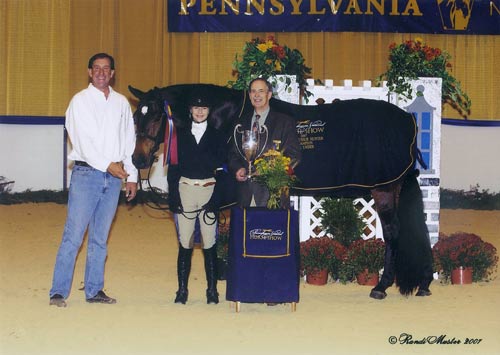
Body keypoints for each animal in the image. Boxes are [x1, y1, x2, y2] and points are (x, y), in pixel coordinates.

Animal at [129, 83, 434, 300]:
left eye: (155, 115)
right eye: (135, 116)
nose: (138, 160)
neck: (225, 119)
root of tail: (407, 120)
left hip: (384, 189)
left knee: (393, 232)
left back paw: (381, 286)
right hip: (394, 187)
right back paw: (423, 283)